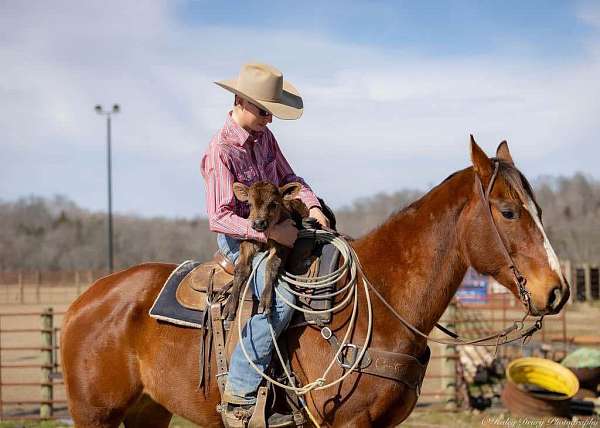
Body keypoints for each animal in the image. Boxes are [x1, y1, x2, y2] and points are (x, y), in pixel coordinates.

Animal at [223, 181, 310, 320]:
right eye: (249, 204)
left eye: (273, 204)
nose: (258, 223)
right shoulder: (248, 242)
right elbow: (241, 268)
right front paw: (230, 306)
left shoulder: (283, 246)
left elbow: (271, 264)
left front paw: (265, 302)